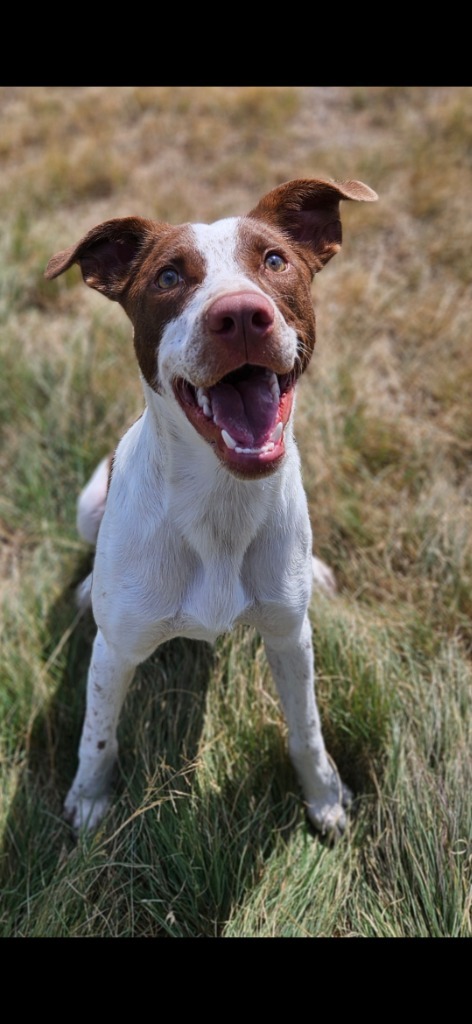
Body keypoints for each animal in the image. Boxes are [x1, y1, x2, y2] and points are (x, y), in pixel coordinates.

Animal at [46, 178, 376, 831]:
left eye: (274, 260)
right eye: (169, 277)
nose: (241, 315)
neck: (220, 502)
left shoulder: (290, 638)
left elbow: (307, 729)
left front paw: (324, 796)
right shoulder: (114, 651)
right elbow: (98, 734)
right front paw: (89, 799)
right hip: (87, 502)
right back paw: (85, 589)